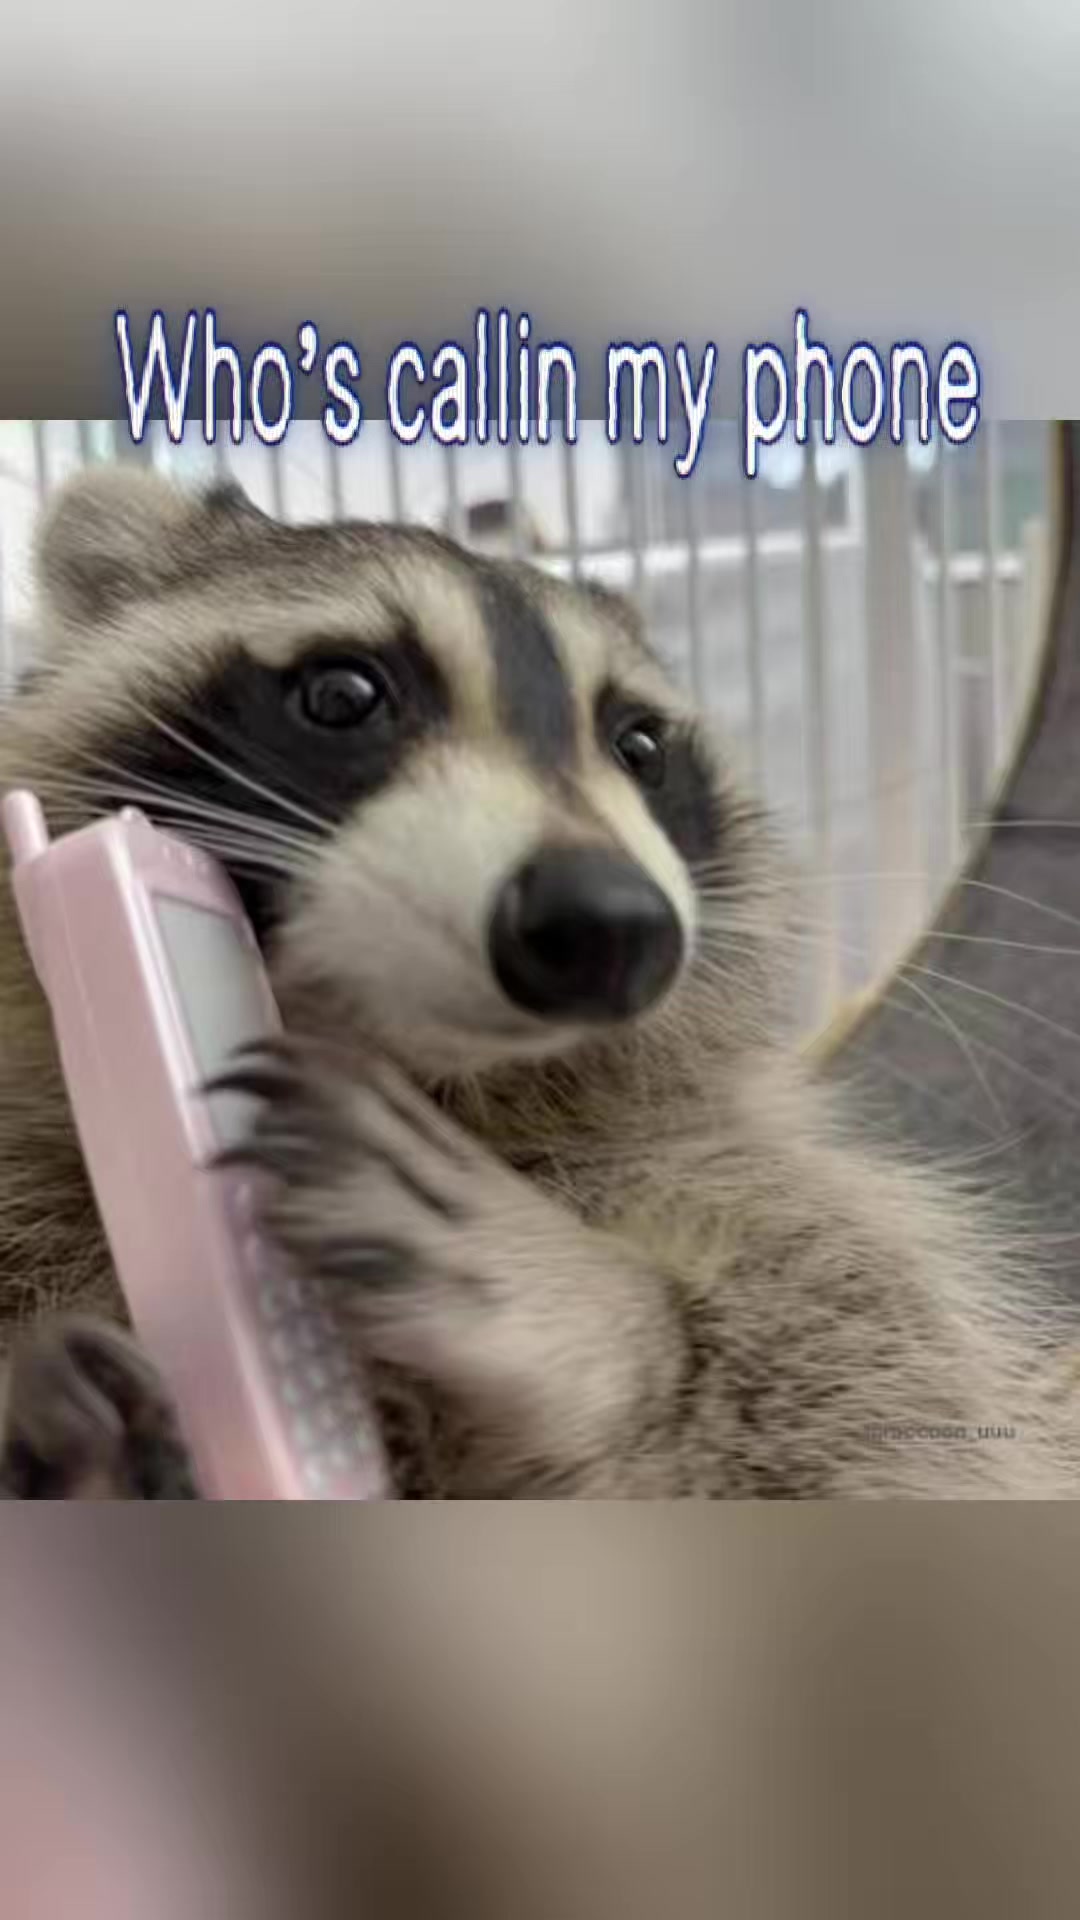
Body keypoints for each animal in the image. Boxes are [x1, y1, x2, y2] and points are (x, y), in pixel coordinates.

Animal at [0, 465, 1076, 1498]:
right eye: (344, 694)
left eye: (640, 746)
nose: (610, 925)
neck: (436, 1080)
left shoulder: (801, 1224)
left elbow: (860, 1426)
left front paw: (589, 1316)